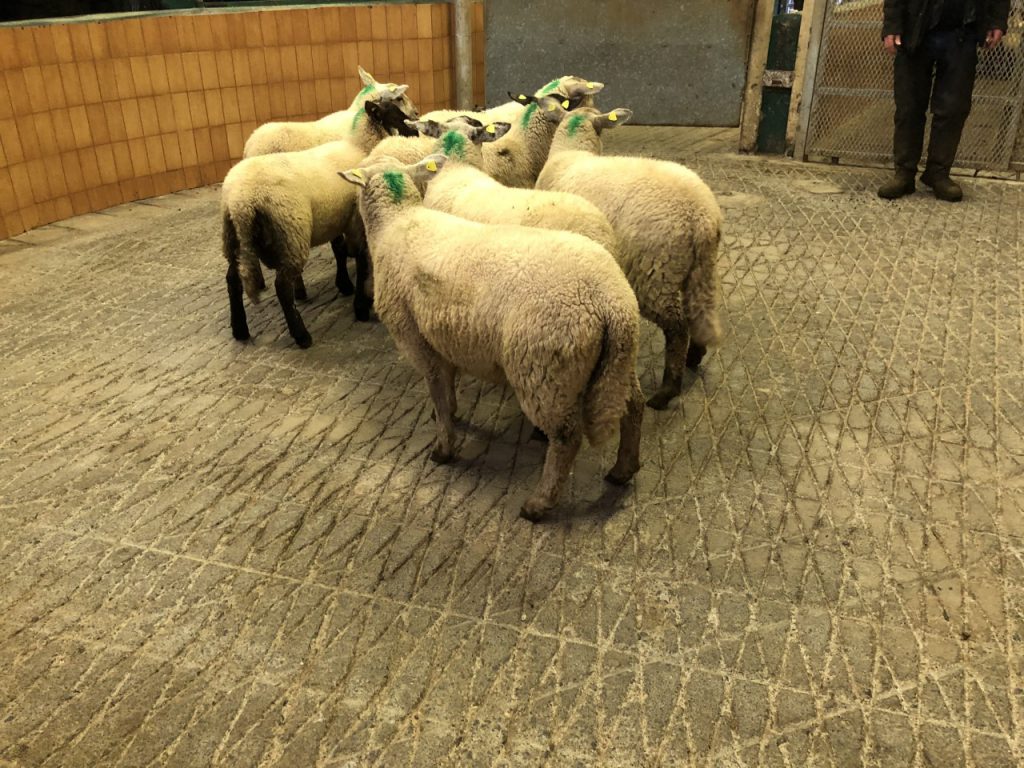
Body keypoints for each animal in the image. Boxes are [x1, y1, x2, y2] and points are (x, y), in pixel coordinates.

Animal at [223, 93, 411, 348]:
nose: (415, 131)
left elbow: (339, 250)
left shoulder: (338, 217)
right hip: (291, 233)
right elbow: (360, 259)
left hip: (232, 237)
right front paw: (360, 304)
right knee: (282, 287)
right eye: (395, 114)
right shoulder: (355, 220)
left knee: (232, 279)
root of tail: (241, 201)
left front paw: (344, 285)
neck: (359, 145)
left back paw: (240, 329)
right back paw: (301, 334)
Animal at [339, 156, 644, 520]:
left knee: (566, 437)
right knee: (634, 406)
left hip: (543, 369)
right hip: (618, 363)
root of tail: (610, 303)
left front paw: (443, 448)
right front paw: (450, 416)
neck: (396, 223)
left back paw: (539, 503)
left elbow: (438, 393)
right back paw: (623, 470)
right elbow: (447, 389)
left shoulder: (417, 341)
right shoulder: (444, 339)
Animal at [536, 102, 724, 410]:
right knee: (699, 310)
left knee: (677, 327)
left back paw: (665, 392)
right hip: (701, 268)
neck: (571, 151)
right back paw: (694, 357)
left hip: (654, 272)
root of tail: (702, 217)